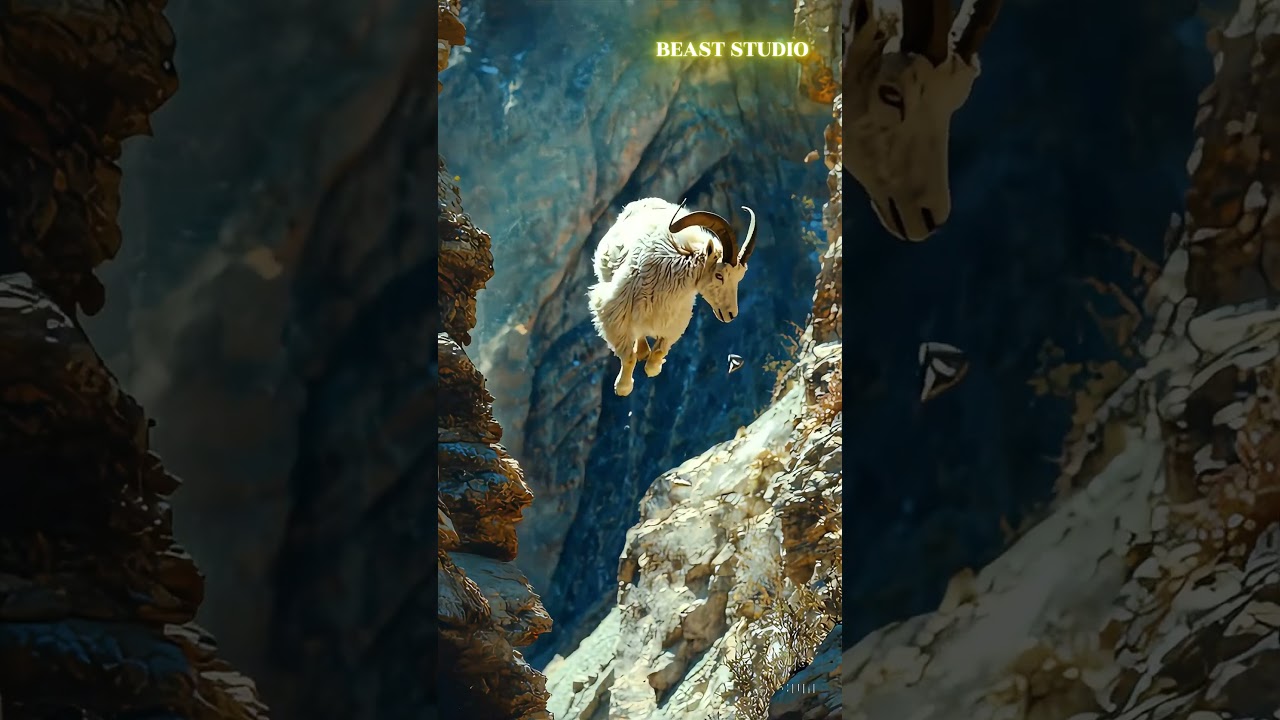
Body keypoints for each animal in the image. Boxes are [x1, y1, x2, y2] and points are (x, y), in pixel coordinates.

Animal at [587, 197, 758, 397]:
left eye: (739, 277)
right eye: (719, 275)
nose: (731, 314)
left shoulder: (674, 321)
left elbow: (657, 355)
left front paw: (655, 366)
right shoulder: (612, 312)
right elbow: (628, 357)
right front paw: (622, 388)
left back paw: (643, 352)